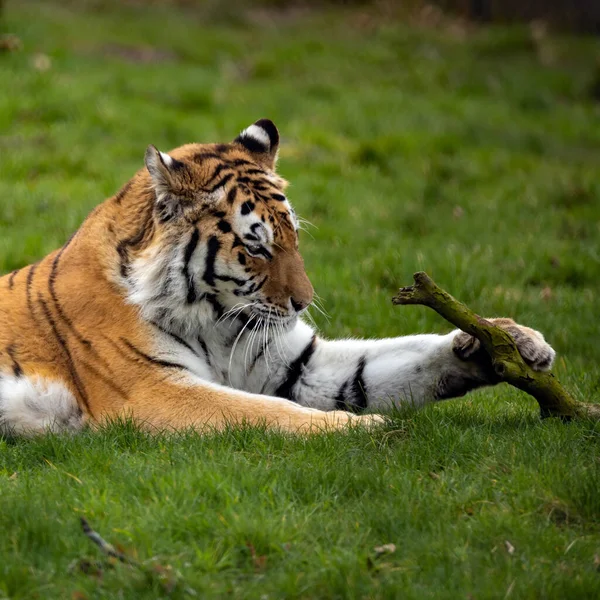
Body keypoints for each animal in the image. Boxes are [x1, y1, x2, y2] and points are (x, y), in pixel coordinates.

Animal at [0, 118, 556, 436]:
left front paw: (507, 340)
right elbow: (263, 413)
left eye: (293, 237)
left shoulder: (295, 362)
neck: (214, 319)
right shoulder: (151, 389)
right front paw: (365, 429)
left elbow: (396, 359)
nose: (303, 303)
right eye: (256, 246)